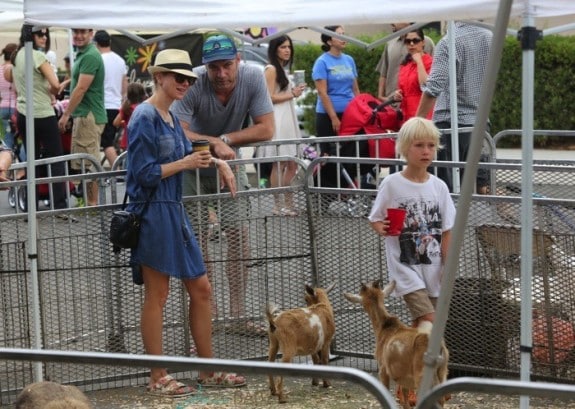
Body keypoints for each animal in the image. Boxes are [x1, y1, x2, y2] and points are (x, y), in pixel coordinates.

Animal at [342, 280, 450, 408]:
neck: (384, 329)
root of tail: (440, 351)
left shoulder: (383, 368)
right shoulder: (404, 376)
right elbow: (404, 397)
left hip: (423, 374)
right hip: (443, 371)